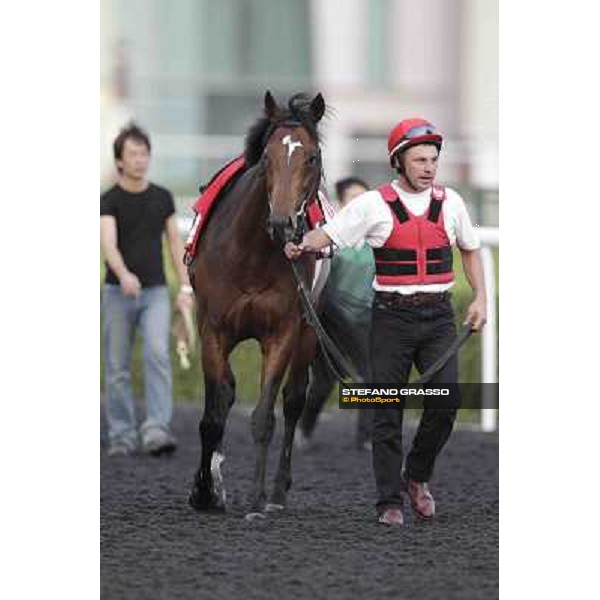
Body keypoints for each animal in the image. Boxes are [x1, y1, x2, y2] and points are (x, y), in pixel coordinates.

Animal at [189, 91, 326, 516]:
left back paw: (278, 491)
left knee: (295, 400)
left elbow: (265, 416)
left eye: (311, 157)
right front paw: (205, 491)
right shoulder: (213, 329)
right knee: (225, 394)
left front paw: (255, 498)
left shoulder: (283, 331)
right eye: (267, 157)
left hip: (308, 332)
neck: (250, 254)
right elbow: (212, 416)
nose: (283, 224)